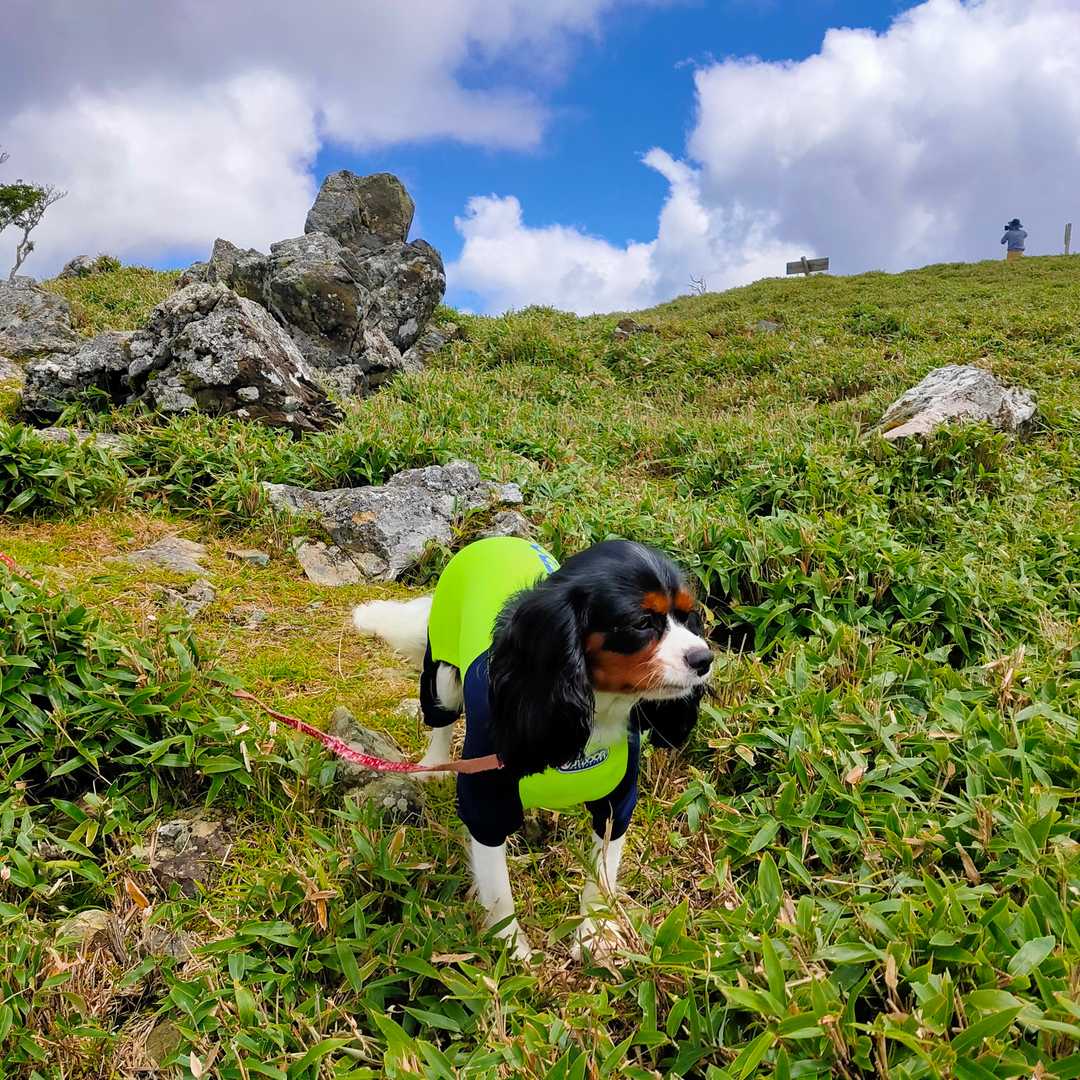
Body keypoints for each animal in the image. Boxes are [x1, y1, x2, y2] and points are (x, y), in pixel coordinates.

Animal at [352, 536, 712, 961]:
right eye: (641, 623)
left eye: (688, 617)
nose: (705, 658)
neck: (595, 709)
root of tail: (494, 538)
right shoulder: (486, 803)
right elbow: (498, 892)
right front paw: (513, 950)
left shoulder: (617, 801)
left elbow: (602, 872)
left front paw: (595, 933)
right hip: (441, 670)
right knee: (441, 717)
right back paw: (436, 764)